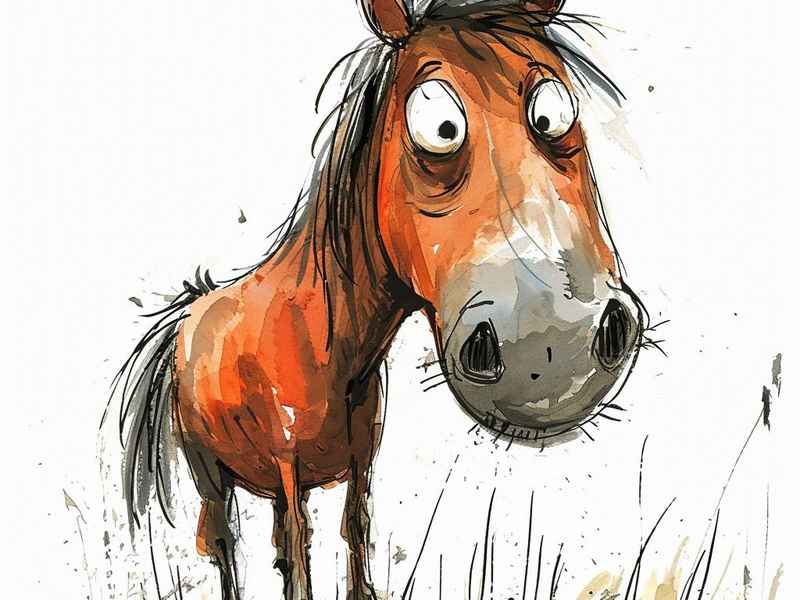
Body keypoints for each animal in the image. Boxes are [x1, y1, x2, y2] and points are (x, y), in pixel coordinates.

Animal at [108, 1, 647, 598]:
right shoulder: (287, 465)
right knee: (224, 545)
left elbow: (354, 530)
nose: (551, 345)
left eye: (552, 113)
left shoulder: (359, 459)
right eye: (440, 127)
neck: (324, 336)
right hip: (211, 476)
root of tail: (192, 308)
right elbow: (300, 555)